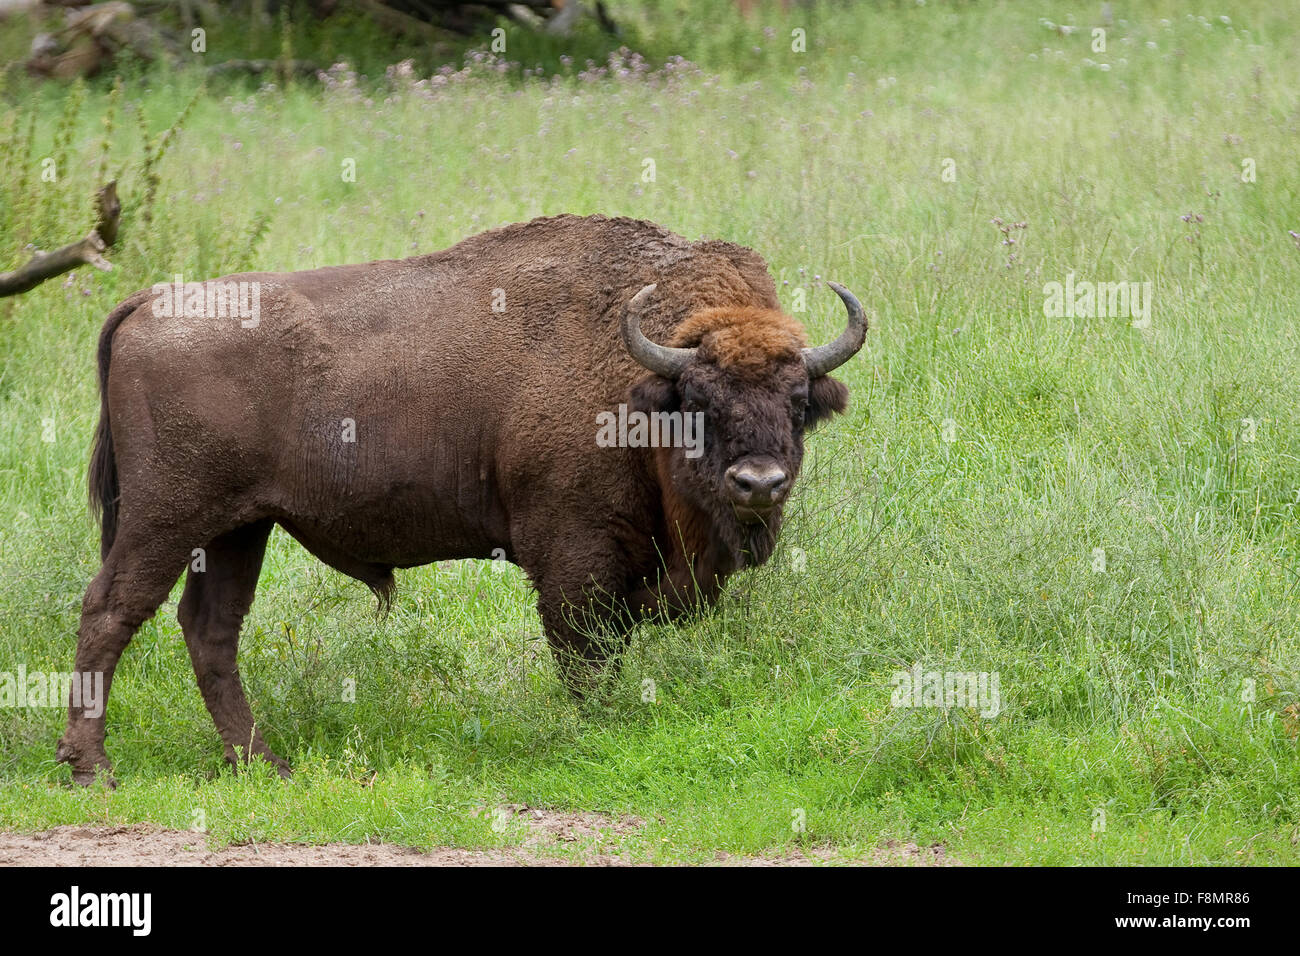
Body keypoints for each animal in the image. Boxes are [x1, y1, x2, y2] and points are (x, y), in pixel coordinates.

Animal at [55, 214, 863, 785]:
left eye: (798, 403)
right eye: (698, 400)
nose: (758, 484)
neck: (636, 382)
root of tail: (149, 299)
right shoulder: (574, 555)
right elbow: (585, 649)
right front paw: (597, 732)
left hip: (236, 530)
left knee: (211, 631)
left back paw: (262, 763)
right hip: (167, 518)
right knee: (112, 609)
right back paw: (93, 769)